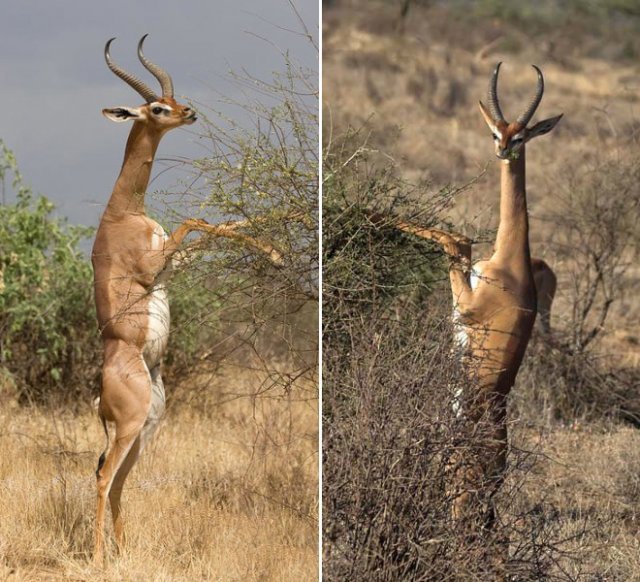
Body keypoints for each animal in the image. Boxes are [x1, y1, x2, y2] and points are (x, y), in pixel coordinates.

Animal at [90, 36, 280, 564]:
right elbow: (197, 220)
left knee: (117, 483)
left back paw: (123, 553)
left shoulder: (171, 266)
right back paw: (96, 558)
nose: (189, 112)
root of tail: (101, 391)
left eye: (171, 100)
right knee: (102, 478)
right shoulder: (152, 267)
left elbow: (215, 224)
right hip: (130, 428)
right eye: (156, 107)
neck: (124, 213)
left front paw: (276, 249)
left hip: (146, 429)